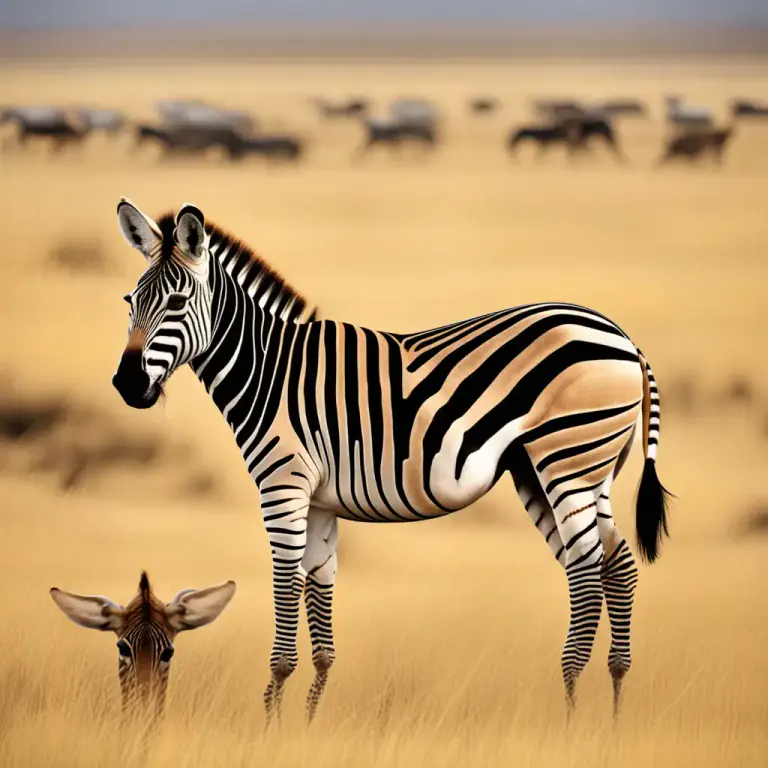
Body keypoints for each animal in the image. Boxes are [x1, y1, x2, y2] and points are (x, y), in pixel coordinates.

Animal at [112, 199, 671, 723]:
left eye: (178, 301)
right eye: (130, 301)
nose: (127, 385)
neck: (268, 370)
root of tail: (623, 338)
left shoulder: (282, 487)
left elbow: (287, 596)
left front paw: (270, 721)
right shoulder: (319, 502)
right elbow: (321, 615)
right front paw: (305, 724)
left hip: (566, 461)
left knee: (587, 572)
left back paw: (573, 708)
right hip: (561, 472)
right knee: (616, 564)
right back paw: (613, 705)